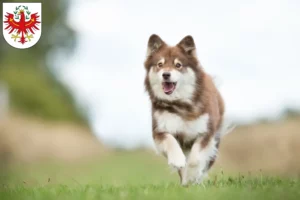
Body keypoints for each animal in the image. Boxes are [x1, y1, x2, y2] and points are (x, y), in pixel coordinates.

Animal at [144, 34, 233, 186]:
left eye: (178, 65)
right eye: (160, 64)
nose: (165, 74)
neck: (181, 104)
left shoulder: (205, 133)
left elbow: (195, 159)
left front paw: (192, 176)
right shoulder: (160, 131)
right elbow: (171, 143)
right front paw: (177, 160)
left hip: (215, 141)